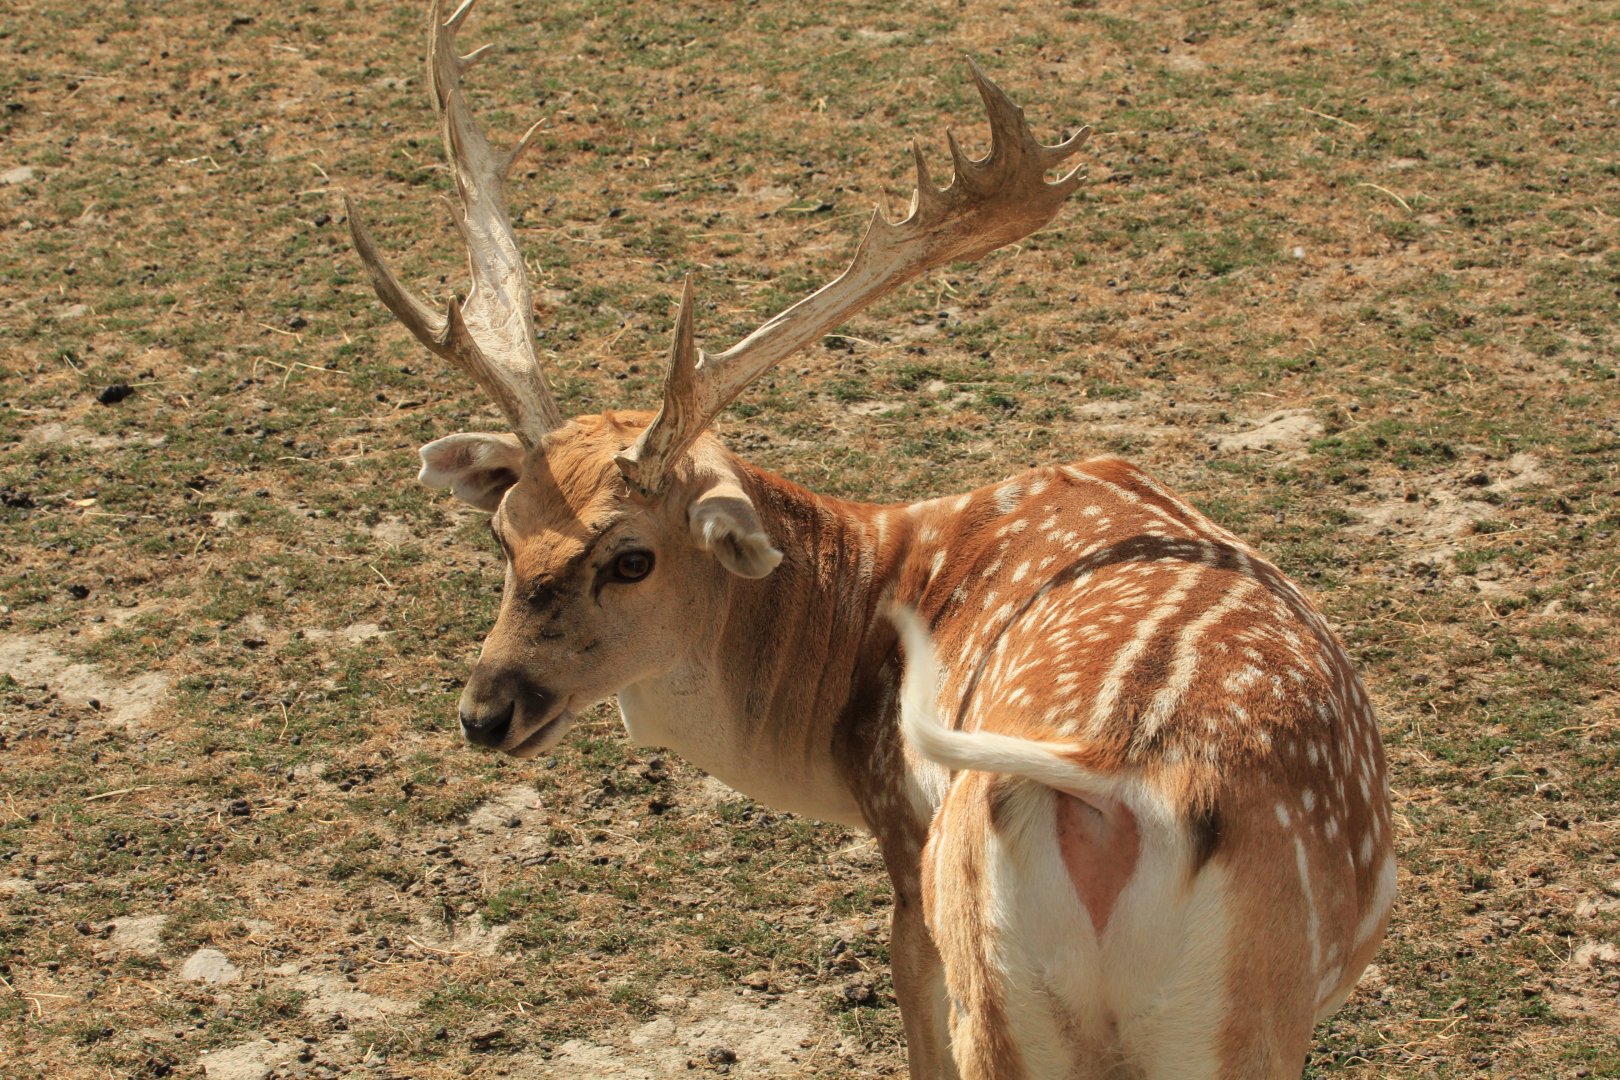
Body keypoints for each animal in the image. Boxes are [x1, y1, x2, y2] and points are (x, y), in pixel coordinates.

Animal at [345, 2, 1396, 1076]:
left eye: (632, 558)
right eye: (504, 532)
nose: (484, 713)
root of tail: (1119, 783)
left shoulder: (901, 835)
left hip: (1004, 941)